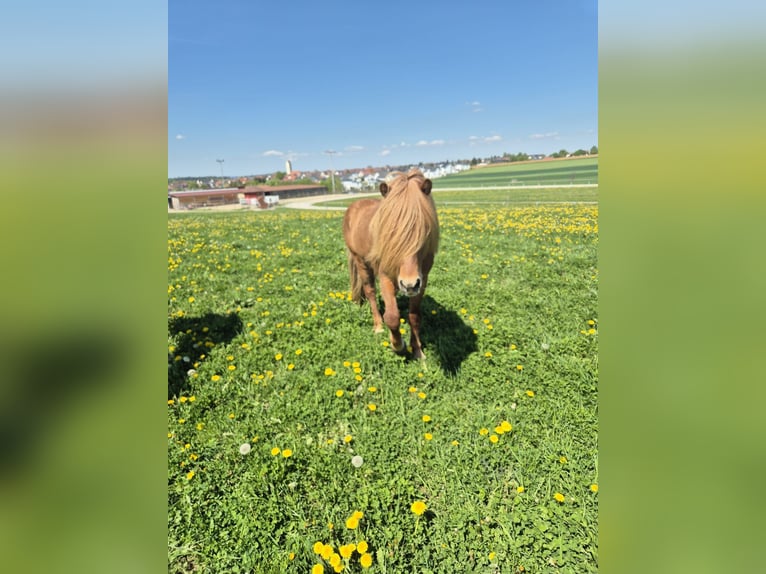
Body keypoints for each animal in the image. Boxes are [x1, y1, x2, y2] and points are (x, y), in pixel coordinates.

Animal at [342, 168, 439, 359]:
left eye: (423, 229)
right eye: (390, 231)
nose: (409, 284)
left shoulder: (422, 280)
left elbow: (414, 316)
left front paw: (417, 351)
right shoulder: (385, 276)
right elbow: (392, 317)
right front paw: (398, 346)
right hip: (361, 262)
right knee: (370, 292)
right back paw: (378, 326)